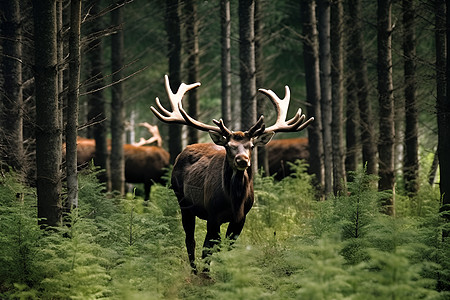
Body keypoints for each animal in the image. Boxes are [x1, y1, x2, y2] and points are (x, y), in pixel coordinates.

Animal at [151, 75, 312, 274]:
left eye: (251, 145)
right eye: (229, 146)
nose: (242, 160)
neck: (234, 201)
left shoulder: (241, 218)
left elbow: (226, 247)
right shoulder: (213, 214)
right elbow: (209, 247)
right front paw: (207, 274)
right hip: (183, 201)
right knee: (191, 239)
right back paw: (195, 270)